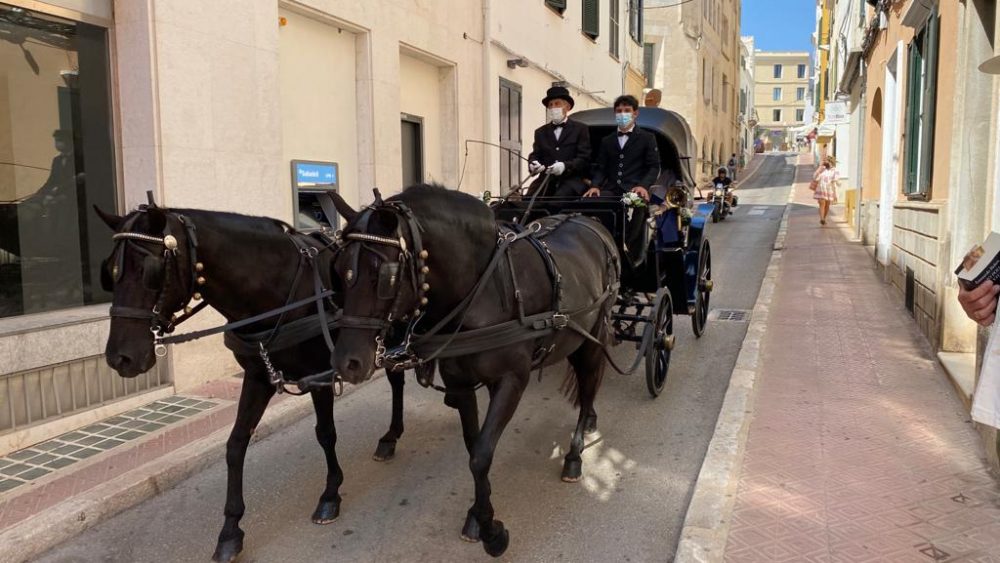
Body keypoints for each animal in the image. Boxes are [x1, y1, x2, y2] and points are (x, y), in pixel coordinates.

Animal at [92, 206, 408, 563]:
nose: (120, 357)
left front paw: (330, 494)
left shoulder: (320, 375)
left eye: (151, 271)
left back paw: (390, 436)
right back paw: (390, 437)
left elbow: (326, 434)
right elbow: (236, 444)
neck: (279, 290)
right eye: (109, 271)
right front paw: (230, 530)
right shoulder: (258, 377)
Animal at [332, 186, 620, 560]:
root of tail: (590, 221)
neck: (483, 290)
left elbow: (481, 455)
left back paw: (574, 453)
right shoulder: (461, 382)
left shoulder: (512, 380)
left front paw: (491, 532)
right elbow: (474, 447)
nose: (346, 363)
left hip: (591, 338)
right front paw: (478, 514)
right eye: (339, 270)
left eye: (384, 276)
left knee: (588, 386)